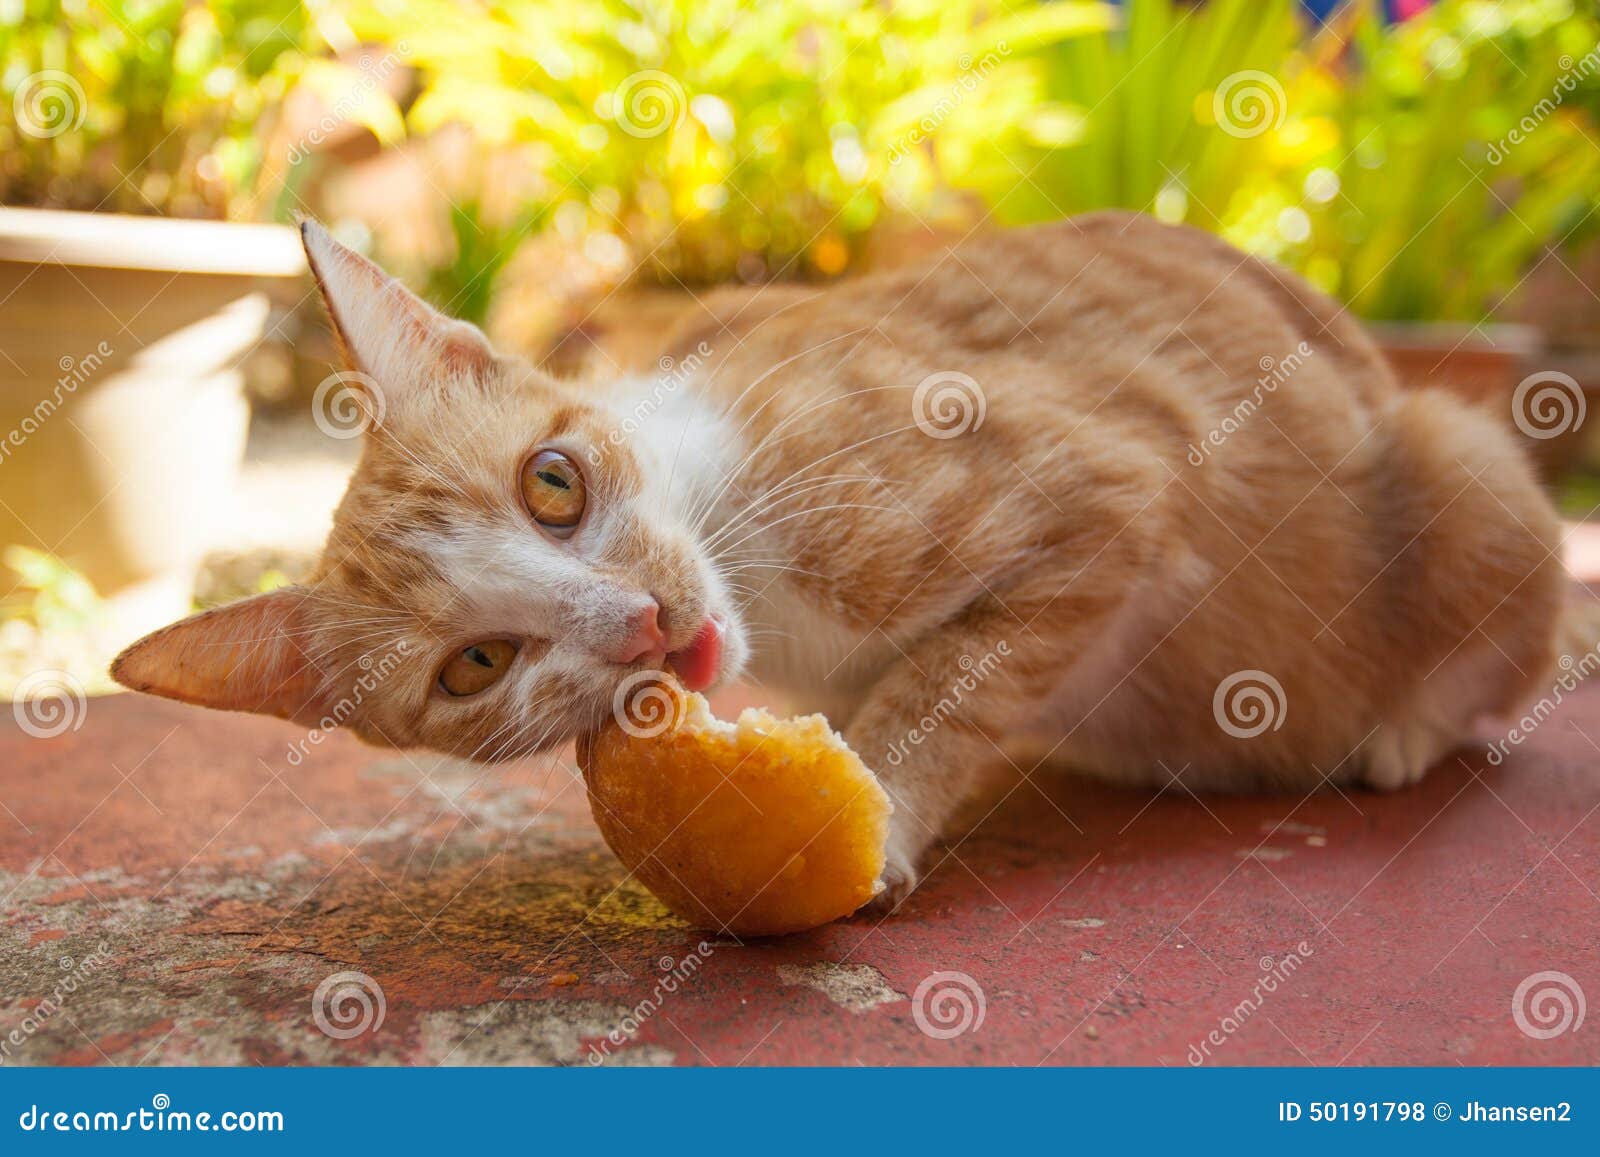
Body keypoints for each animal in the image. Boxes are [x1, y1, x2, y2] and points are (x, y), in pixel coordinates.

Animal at [118, 214, 1568, 902]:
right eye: (476, 664)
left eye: (552, 483)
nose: (638, 619)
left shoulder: (1114, 477)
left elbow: (948, 681)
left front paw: (881, 805)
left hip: (1461, 457)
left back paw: (1399, 727)